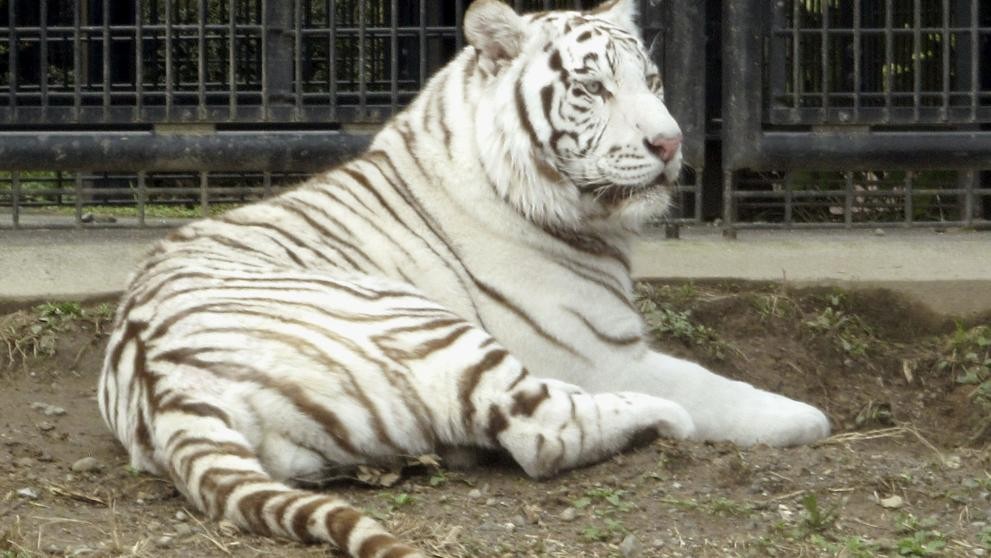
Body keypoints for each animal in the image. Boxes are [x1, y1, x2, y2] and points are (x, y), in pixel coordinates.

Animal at [97, 0, 830, 556]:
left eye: (650, 82)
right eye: (593, 89)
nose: (671, 143)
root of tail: (165, 386)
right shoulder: (602, 354)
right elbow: (712, 386)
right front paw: (803, 415)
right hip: (427, 326)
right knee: (543, 431)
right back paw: (655, 418)